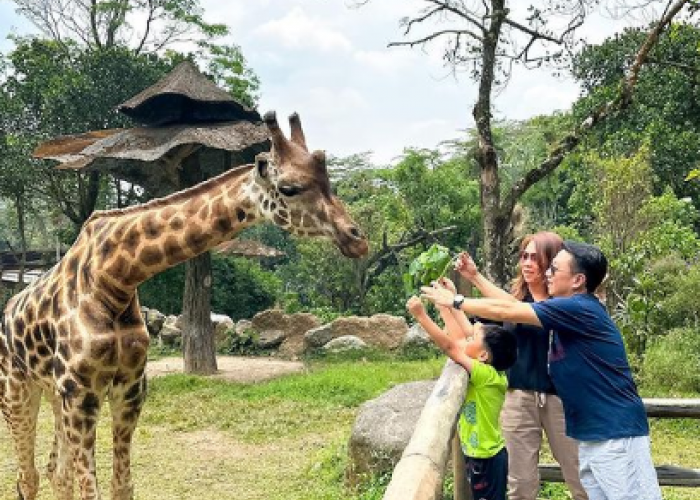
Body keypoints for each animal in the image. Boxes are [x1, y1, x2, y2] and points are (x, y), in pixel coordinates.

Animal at [0, 112, 370, 500]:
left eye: (328, 180)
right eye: (289, 188)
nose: (357, 239)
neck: (115, 277)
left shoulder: (129, 389)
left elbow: (122, 486)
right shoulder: (80, 392)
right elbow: (92, 489)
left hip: (52, 392)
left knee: (56, 473)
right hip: (17, 389)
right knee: (28, 476)